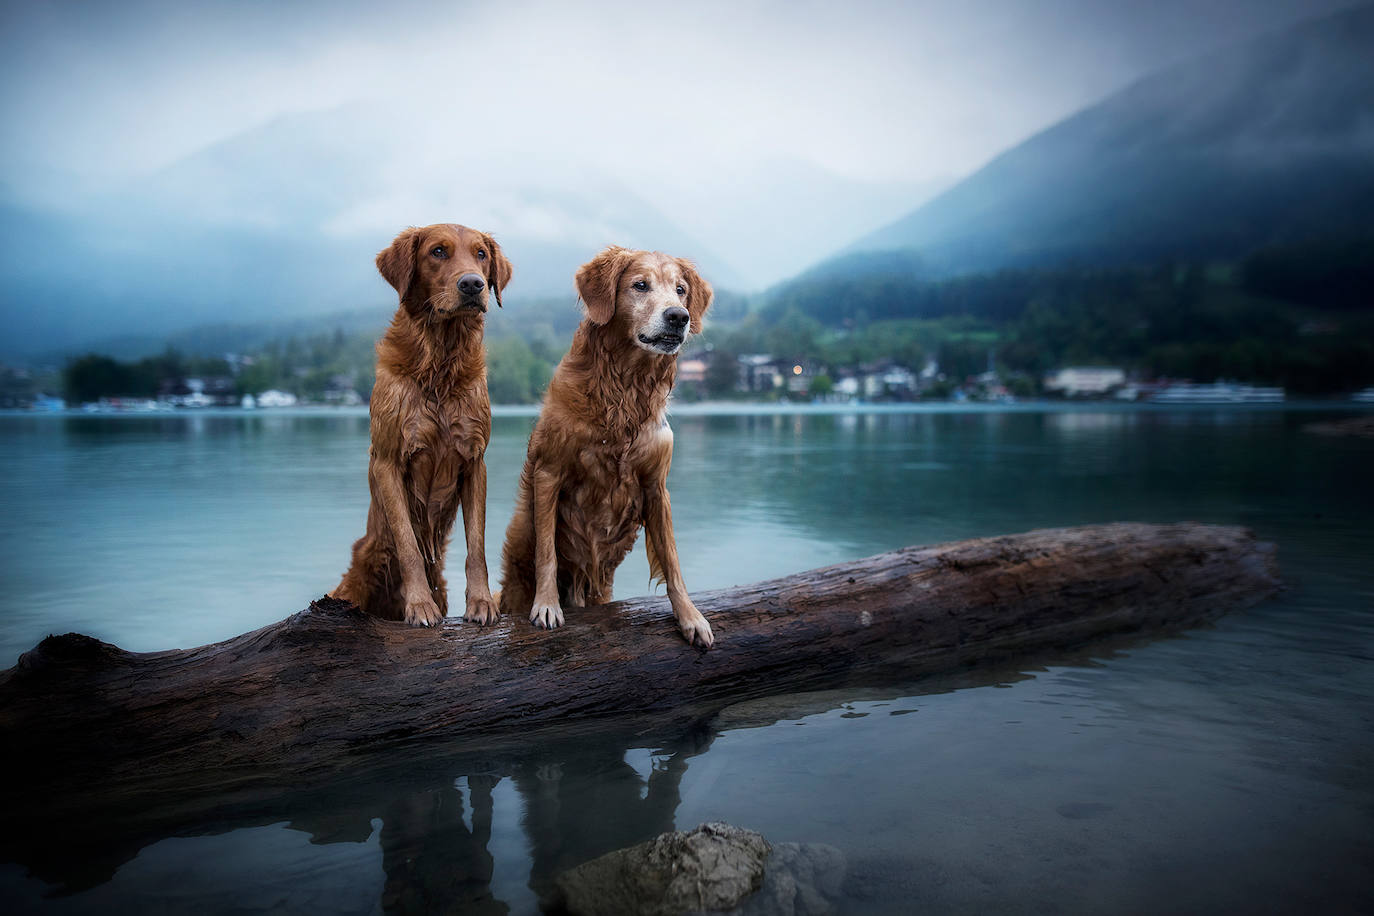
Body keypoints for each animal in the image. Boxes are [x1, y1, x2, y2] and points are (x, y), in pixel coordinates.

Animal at [333, 225, 516, 626]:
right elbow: (408, 544)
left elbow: (476, 546)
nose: (473, 284)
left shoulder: (474, 461)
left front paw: (482, 602)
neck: (440, 363)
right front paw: (418, 604)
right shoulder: (388, 461)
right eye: (438, 252)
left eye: (481, 254)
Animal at [497, 247, 714, 648]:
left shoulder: (656, 487)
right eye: (640, 285)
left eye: (680, 290)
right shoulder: (549, 471)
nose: (679, 317)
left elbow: (673, 562)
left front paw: (691, 617)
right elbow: (546, 551)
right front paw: (547, 605)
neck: (624, 388)